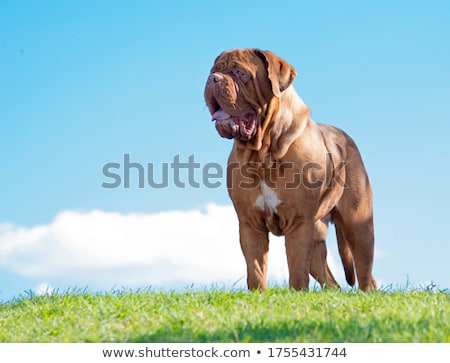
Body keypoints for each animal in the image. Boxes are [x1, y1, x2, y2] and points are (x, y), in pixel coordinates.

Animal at [204, 49, 376, 292]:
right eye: (213, 70)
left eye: (240, 73)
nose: (213, 79)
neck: (263, 153)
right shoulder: (250, 224)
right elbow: (255, 269)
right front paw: (258, 295)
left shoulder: (298, 222)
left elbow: (296, 268)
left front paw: (297, 294)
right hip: (318, 233)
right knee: (330, 280)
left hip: (358, 225)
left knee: (365, 272)